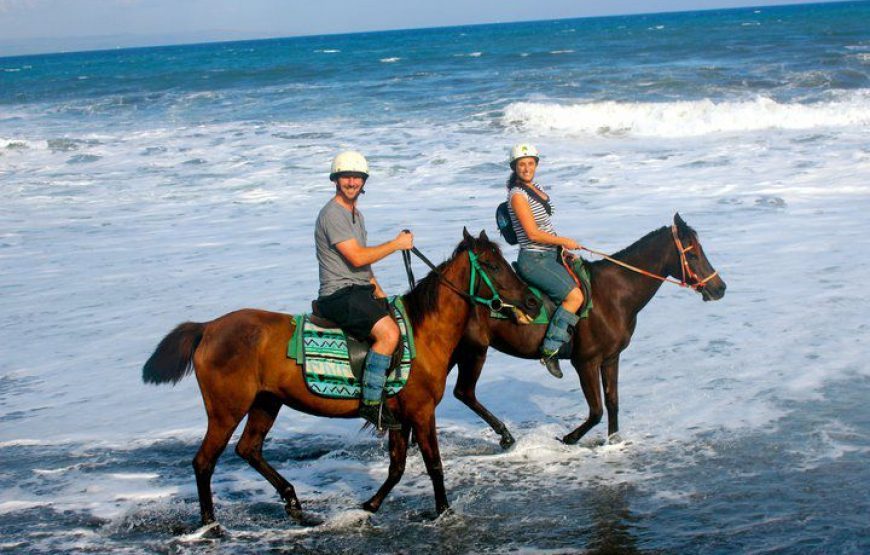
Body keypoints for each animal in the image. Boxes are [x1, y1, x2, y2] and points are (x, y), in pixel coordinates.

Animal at [141, 229, 540, 526]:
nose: (533, 303)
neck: (423, 332)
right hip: (227, 409)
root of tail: (208, 328)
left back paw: (294, 504)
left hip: (266, 403)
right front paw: (444, 511)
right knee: (204, 461)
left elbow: (397, 467)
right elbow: (434, 465)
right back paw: (211, 524)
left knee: (248, 449)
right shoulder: (422, 412)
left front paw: (369, 506)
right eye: (491, 264)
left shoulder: (399, 418)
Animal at [450, 214, 727, 448]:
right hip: (473, 351)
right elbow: (596, 411)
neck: (614, 295)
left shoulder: (611, 357)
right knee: (464, 392)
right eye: (693, 254)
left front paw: (614, 442)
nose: (719, 288)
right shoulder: (586, 362)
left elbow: (612, 402)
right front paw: (569, 438)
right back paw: (505, 435)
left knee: (461, 393)